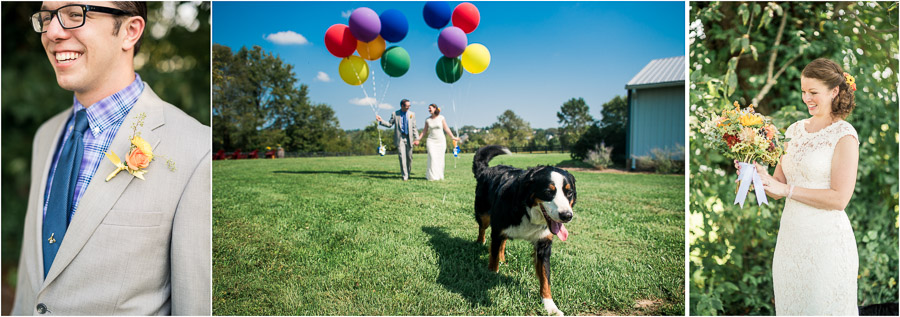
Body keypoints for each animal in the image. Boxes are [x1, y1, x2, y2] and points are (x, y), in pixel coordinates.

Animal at [472, 144, 576, 314]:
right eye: (548, 192)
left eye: (569, 193)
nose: (567, 215)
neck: (527, 210)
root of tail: (487, 169)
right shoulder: (498, 228)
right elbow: (493, 258)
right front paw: (492, 275)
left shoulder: (543, 244)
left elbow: (545, 278)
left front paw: (550, 306)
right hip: (485, 215)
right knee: (483, 228)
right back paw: (481, 242)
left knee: (503, 242)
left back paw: (502, 257)